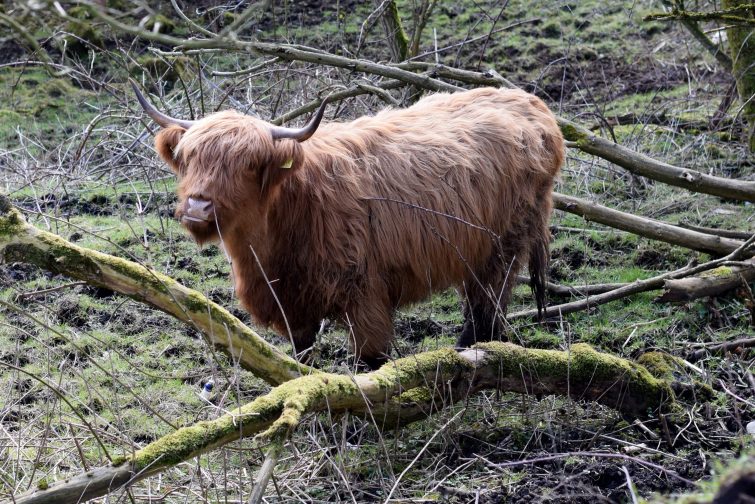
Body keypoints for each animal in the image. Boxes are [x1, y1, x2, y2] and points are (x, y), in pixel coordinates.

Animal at [132, 82, 564, 369]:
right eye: (189, 157)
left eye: (250, 164)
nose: (198, 206)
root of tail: (532, 105)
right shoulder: (295, 302)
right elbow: (303, 356)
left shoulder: (365, 294)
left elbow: (370, 362)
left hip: (502, 247)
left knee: (486, 309)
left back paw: (467, 355)